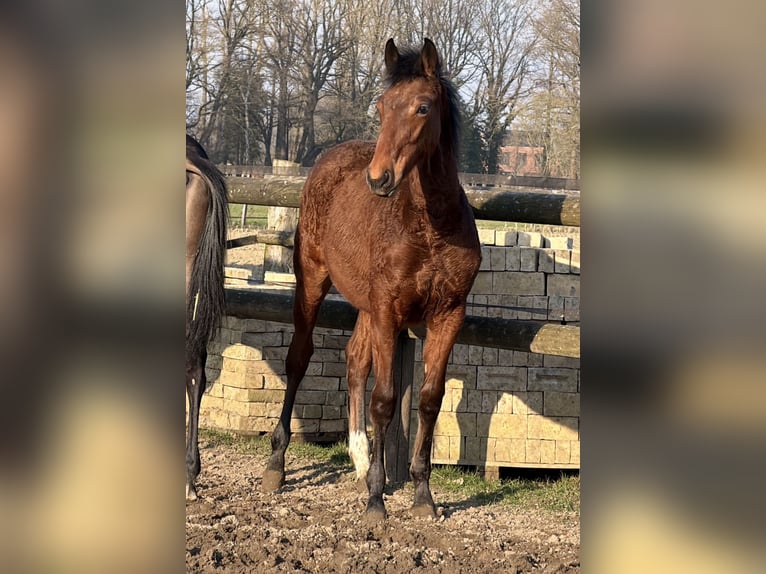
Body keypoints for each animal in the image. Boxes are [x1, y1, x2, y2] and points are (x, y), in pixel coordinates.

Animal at [262, 38, 481, 521]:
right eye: (381, 106)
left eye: (423, 107)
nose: (380, 178)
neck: (429, 226)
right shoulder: (388, 311)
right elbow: (386, 400)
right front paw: (378, 499)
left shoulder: (447, 315)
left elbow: (429, 399)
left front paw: (422, 494)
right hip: (313, 281)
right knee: (299, 359)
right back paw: (277, 464)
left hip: (365, 303)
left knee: (354, 359)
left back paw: (361, 459)